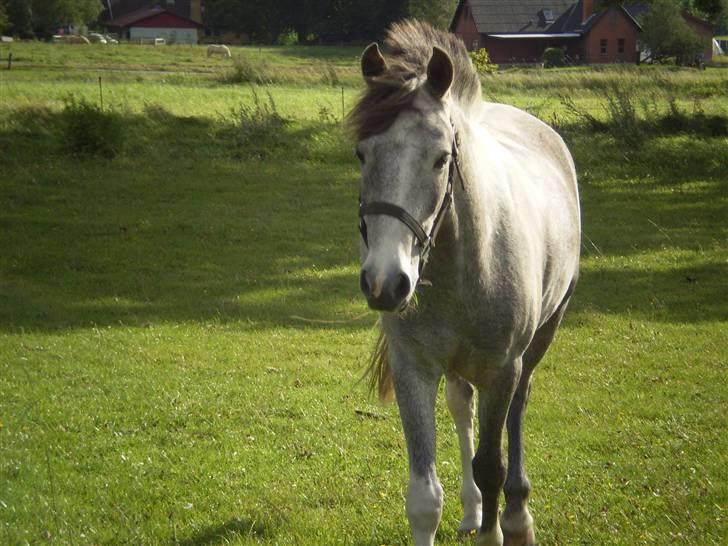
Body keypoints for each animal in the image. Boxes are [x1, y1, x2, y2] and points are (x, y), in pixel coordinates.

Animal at [350, 21, 584, 544]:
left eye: (441, 159)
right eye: (361, 154)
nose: (385, 282)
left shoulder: (502, 369)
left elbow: (491, 464)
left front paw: (500, 525)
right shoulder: (413, 367)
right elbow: (424, 498)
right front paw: (462, 508)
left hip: (539, 339)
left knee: (518, 411)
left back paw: (515, 517)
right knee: (462, 407)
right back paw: (474, 509)